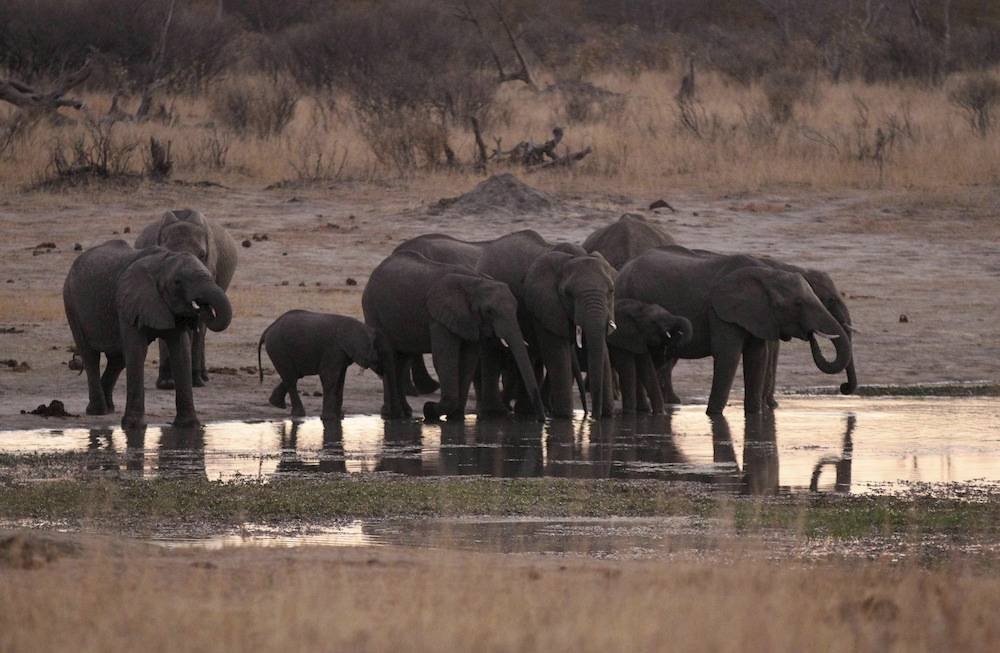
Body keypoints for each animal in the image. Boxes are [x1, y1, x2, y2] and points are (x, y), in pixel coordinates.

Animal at [64, 240, 233, 428]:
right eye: (177, 282)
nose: (203, 308)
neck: (164, 261)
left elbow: (181, 352)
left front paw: (189, 425)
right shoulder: (128, 303)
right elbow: (137, 351)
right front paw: (133, 427)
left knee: (118, 360)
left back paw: (109, 408)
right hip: (71, 303)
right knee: (90, 356)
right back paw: (97, 411)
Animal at [135, 209, 238, 389]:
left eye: (202, 255)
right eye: (165, 253)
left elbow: (199, 327)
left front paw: (195, 381)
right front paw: (166, 383)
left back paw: (202, 377)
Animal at [362, 250, 545, 422]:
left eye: (516, 309)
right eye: (489, 311)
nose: (541, 420)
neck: (476, 281)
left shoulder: (470, 320)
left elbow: (467, 360)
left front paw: (455, 417)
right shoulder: (438, 318)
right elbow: (445, 359)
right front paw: (429, 410)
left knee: (403, 359)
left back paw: (404, 413)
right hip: (372, 310)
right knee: (389, 356)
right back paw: (391, 415)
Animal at [476, 230, 617, 418]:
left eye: (611, 291)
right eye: (568, 294)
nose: (592, 415)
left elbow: (601, 349)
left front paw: (607, 416)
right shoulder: (544, 303)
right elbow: (557, 354)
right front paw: (565, 417)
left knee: (530, 355)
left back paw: (526, 413)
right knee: (492, 353)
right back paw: (496, 413)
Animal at [616, 246, 852, 415]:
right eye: (798, 303)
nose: (844, 387)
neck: (767, 273)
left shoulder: (758, 315)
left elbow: (757, 357)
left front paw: (755, 415)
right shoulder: (721, 312)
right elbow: (728, 356)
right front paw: (713, 415)